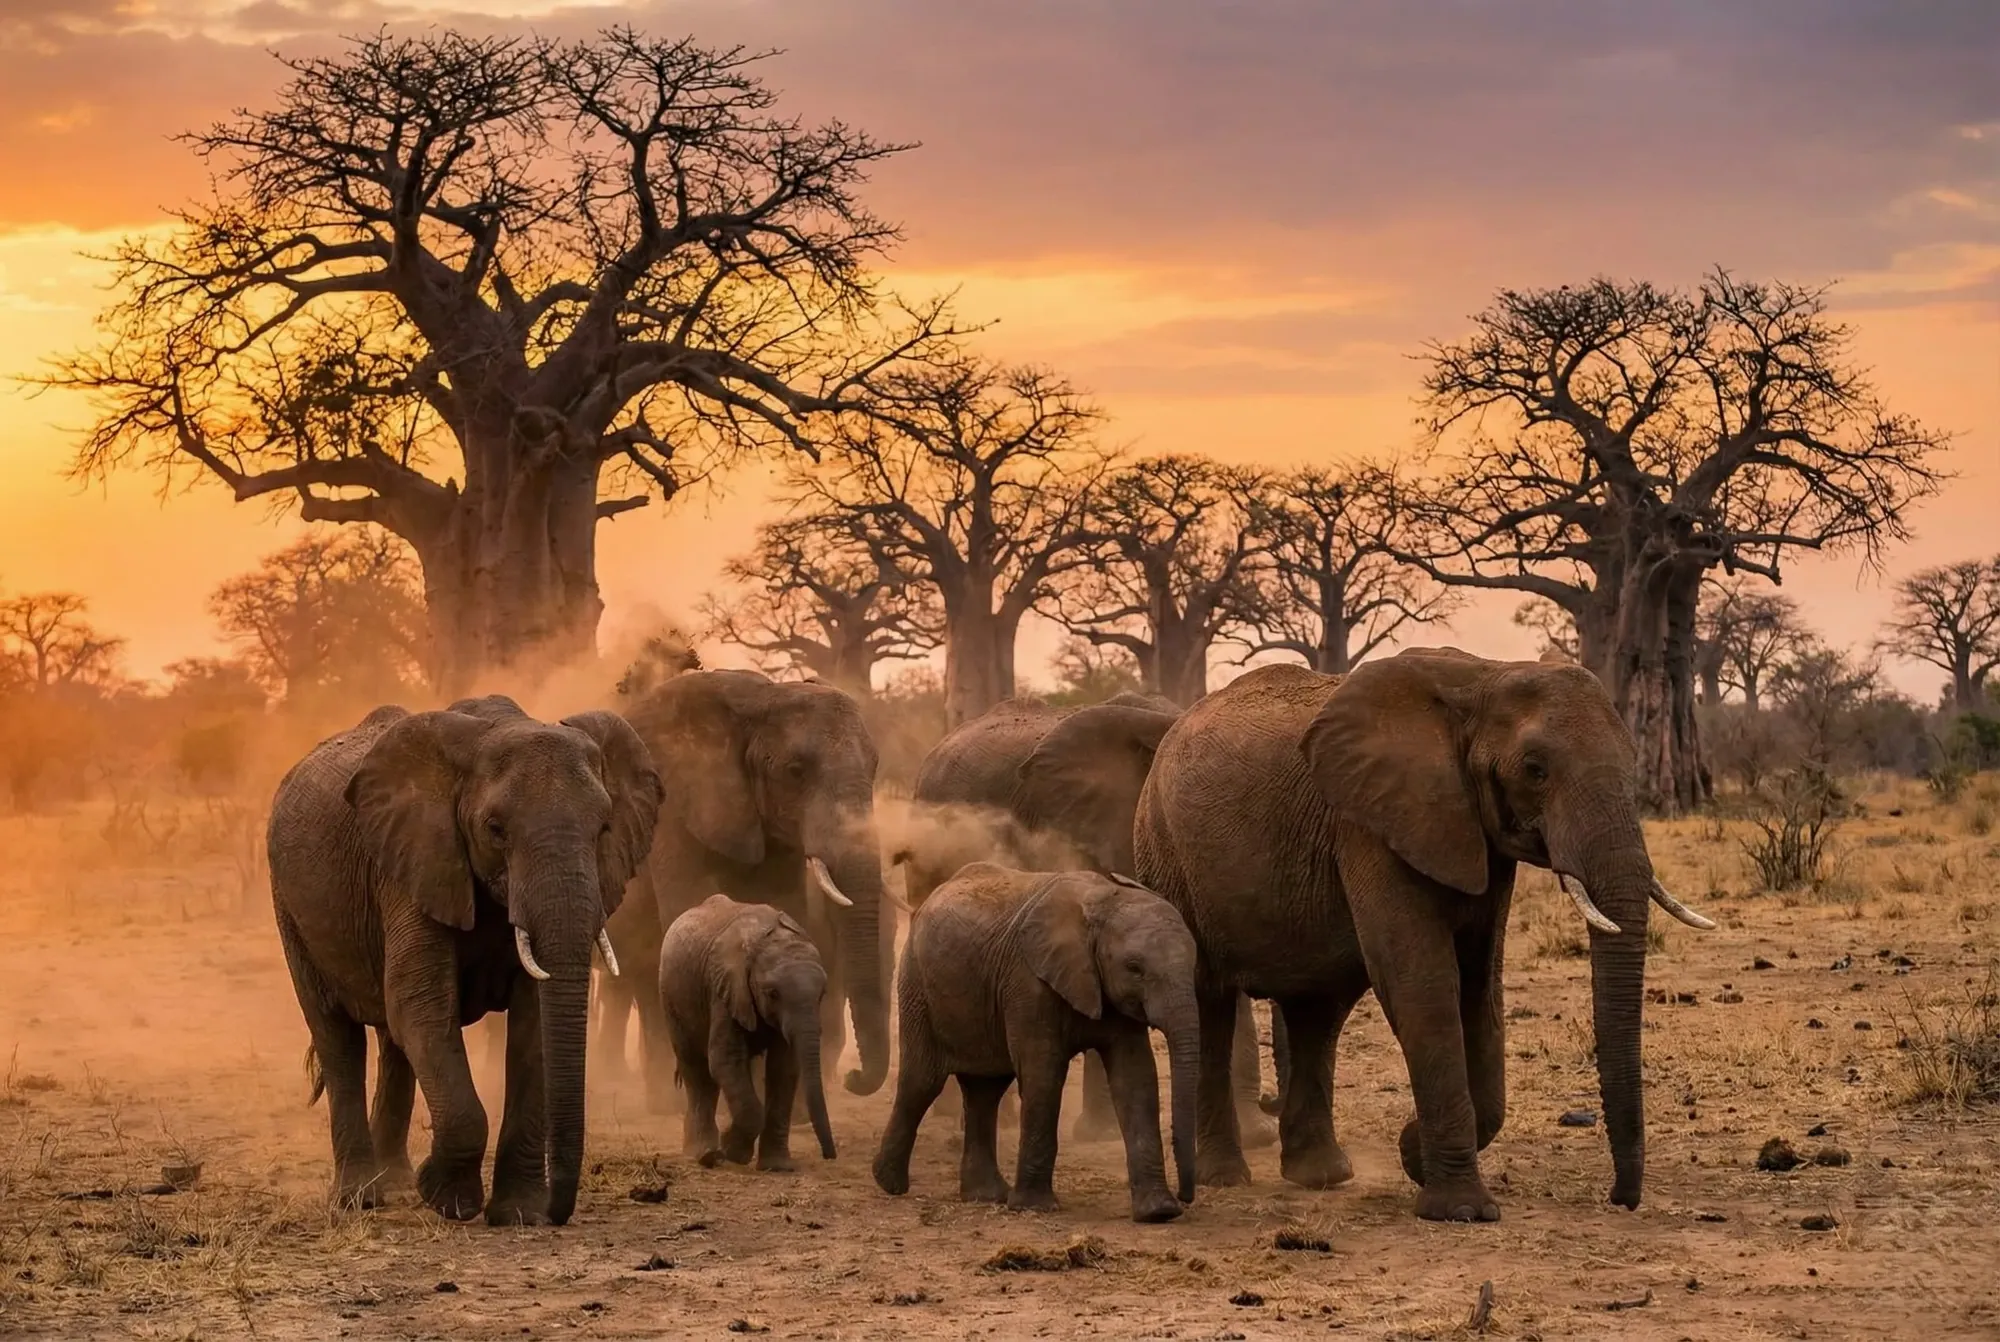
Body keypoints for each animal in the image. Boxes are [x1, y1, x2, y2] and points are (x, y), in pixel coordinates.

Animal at [268, 695, 661, 1225]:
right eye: (495, 830)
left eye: (603, 829)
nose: (558, 1212)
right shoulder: (416, 863)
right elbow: (424, 1007)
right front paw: (448, 1200)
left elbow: (531, 1024)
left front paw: (518, 1214)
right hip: (289, 905)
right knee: (338, 1035)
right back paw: (361, 1199)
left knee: (394, 1040)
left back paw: (395, 1183)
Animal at [601, 669, 892, 1111]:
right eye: (795, 771)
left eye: (875, 766)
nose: (854, 1078)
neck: (763, 699)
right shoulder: (676, 810)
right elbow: (690, 909)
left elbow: (787, 913)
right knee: (647, 975)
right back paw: (667, 1104)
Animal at [658, 894, 837, 1170]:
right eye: (773, 994)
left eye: (822, 994)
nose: (830, 1155)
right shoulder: (725, 990)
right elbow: (725, 1060)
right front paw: (733, 1151)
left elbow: (783, 1068)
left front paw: (777, 1166)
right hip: (672, 998)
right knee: (696, 1069)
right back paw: (705, 1154)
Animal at [872, 864, 1197, 1223]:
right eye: (1134, 968)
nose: (1186, 1197)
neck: (1101, 904)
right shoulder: (1028, 982)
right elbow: (1043, 1073)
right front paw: (1035, 1207)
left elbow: (1135, 1077)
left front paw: (1159, 1213)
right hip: (917, 985)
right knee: (923, 1081)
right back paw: (889, 1183)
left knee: (985, 1090)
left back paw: (986, 1196)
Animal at [1132, 648, 1715, 1220]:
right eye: (1535, 770)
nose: (1621, 1199)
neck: (1484, 678)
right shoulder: (1371, 824)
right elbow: (1421, 981)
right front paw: (1460, 1208)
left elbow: (1481, 988)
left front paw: (1415, 1156)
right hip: (1165, 853)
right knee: (1211, 1001)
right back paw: (1226, 1178)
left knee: (1318, 1009)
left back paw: (1320, 1176)